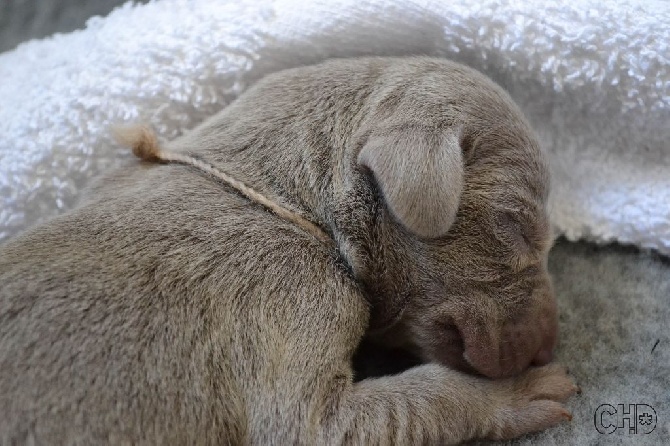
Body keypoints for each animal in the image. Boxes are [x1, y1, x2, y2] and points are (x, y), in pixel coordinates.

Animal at [0, 57, 576, 444]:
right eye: (516, 226)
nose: (549, 349)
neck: (284, 204)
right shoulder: (291, 302)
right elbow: (393, 406)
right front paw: (519, 393)